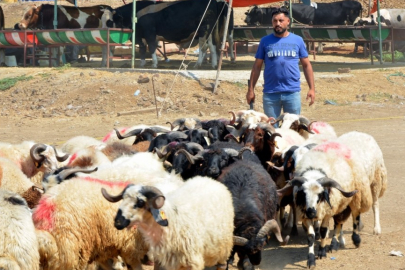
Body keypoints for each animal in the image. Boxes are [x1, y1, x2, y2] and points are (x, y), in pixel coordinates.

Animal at [102, 0, 232, 68]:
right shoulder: (140, 36)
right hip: (210, 31)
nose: (103, 31)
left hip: (203, 30)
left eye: (110, 21)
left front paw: (154, 63)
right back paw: (214, 64)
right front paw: (143, 63)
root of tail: (214, 2)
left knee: (203, 47)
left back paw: (198, 64)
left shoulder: (149, 33)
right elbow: (143, 49)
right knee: (212, 46)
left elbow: (151, 47)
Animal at [102, 176, 234, 268]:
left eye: (140, 202)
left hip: (224, 249)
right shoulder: (161, 260)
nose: (118, 222)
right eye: (123, 198)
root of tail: (211, 180)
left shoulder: (193, 262)